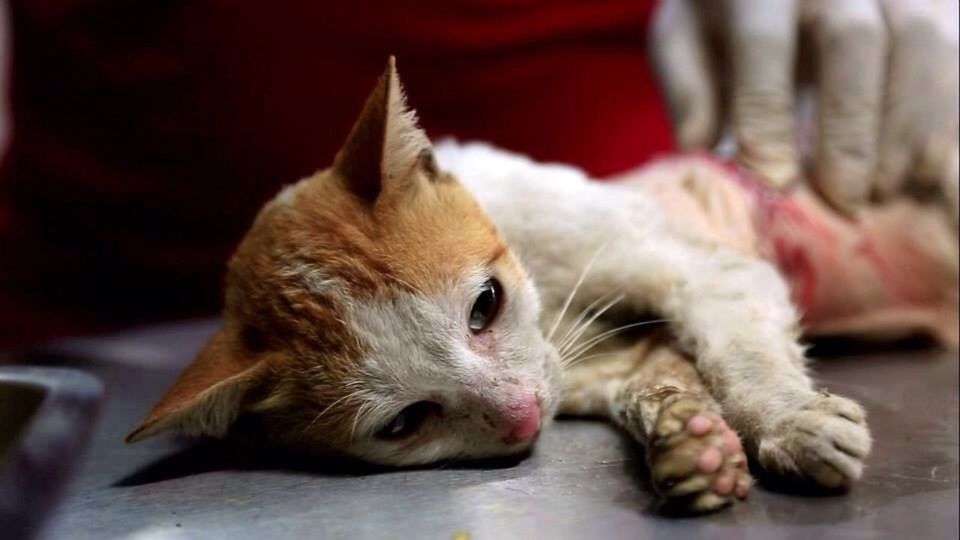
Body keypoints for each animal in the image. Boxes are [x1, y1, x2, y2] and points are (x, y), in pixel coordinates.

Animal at [129, 58, 960, 516]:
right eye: (405, 423)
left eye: (484, 306)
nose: (524, 417)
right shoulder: (598, 364)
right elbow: (657, 382)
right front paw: (694, 448)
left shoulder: (706, 270)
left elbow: (741, 356)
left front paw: (789, 423)